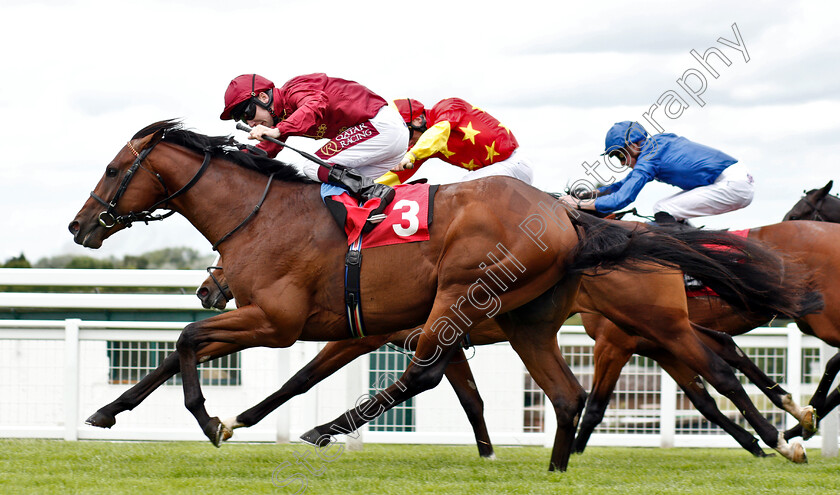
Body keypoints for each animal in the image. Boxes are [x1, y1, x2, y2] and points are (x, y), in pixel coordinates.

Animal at [72, 122, 812, 470]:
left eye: (111, 169)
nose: (80, 226)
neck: (263, 214)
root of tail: (567, 217)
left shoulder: (286, 322)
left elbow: (192, 343)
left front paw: (212, 419)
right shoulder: (329, 327)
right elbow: (184, 353)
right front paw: (108, 411)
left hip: (483, 300)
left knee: (713, 375)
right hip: (533, 322)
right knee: (573, 394)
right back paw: (559, 465)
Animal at [576, 221, 840, 454]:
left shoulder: (614, 343)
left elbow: (594, 408)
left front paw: (575, 450)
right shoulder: (662, 346)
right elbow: (705, 402)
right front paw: (755, 444)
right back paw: (801, 422)